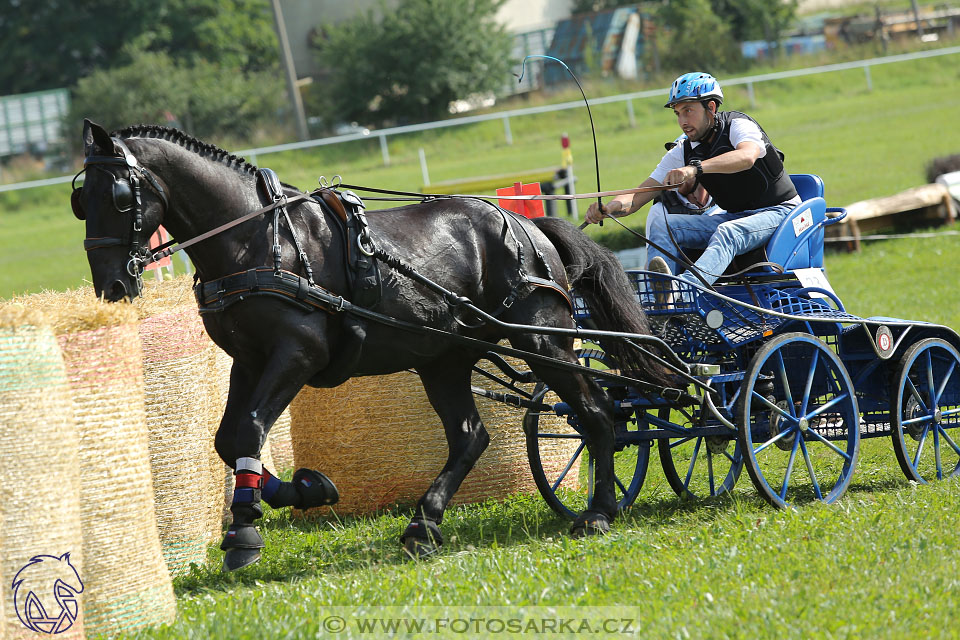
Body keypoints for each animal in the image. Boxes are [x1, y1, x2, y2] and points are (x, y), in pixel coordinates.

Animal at [73, 119, 668, 568]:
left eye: (119, 197)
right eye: (81, 199)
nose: (112, 287)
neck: (254, 240)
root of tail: (530, 226)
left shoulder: (298, 353)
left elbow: (250, 428)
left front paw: (244, 533)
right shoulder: (248, 360)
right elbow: (228, 438)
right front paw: (306, 490)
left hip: (543, 342)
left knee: (596, 412)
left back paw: (598, 513)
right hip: (445, 358)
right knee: (470, 436)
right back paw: (423, 525)